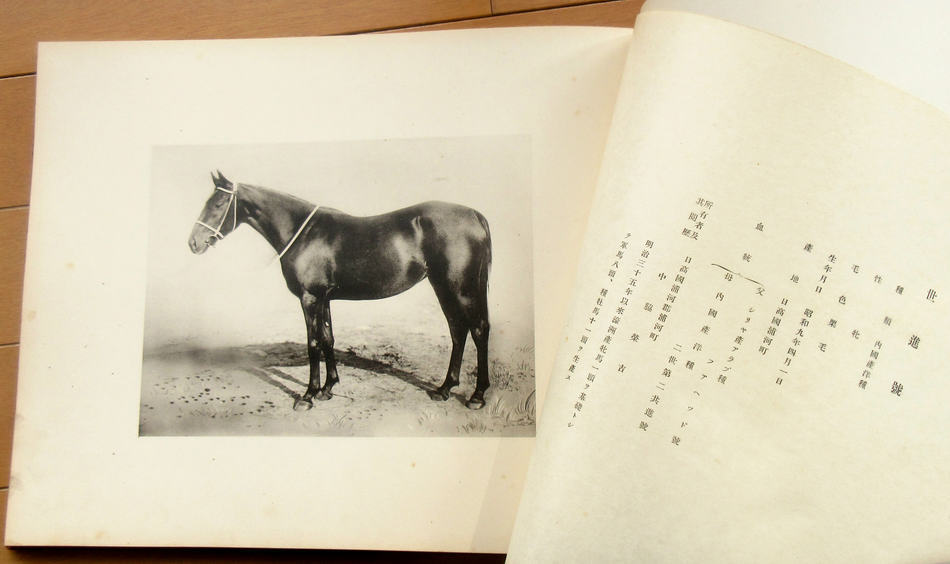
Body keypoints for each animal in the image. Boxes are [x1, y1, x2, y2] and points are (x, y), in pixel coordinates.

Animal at [190, 170, 494, 412]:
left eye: (219, 203)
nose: (193, 242)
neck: (304, 233)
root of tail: (474, 215)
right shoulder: (323, 298)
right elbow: (328, 338)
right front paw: (328, 388)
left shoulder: (309, 298)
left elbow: (313, 343)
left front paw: (308, 396)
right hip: (443, 286)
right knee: (458, 330)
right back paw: (444, 389)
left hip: (462, 287)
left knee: (478, 329)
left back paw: (477, 396)